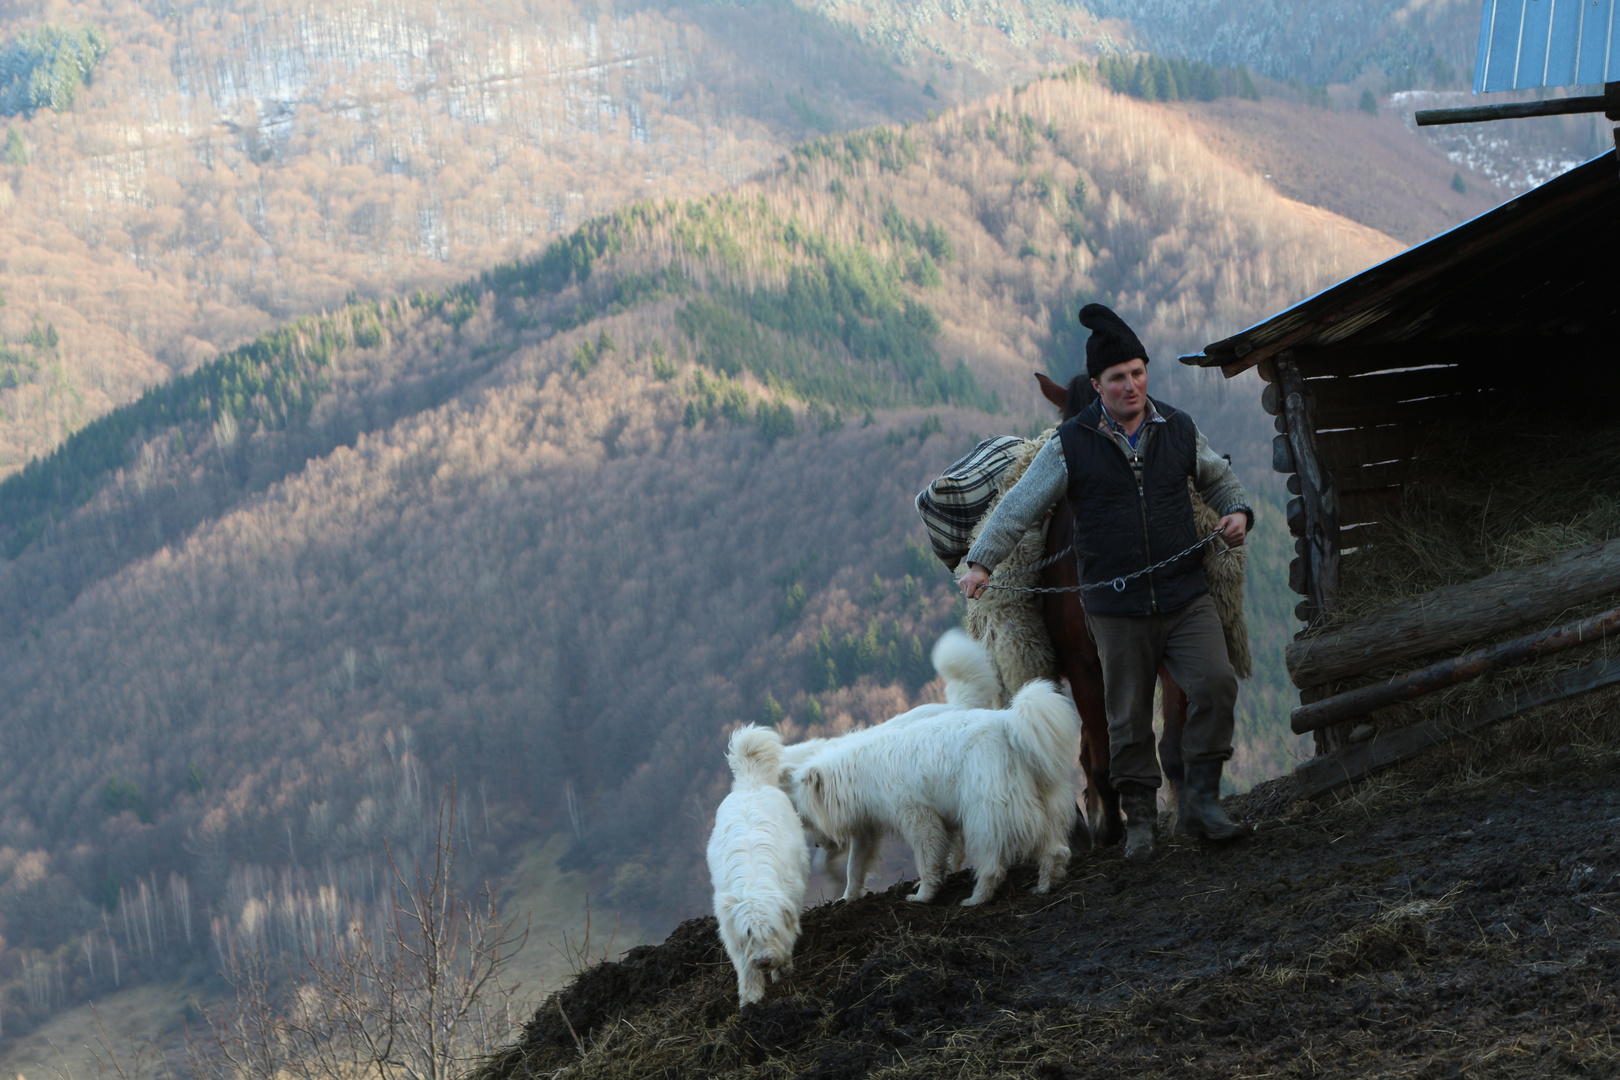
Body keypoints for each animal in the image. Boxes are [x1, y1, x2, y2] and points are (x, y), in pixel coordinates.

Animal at [706, 722, 810, 1010]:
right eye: (749, 932)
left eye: (770, 929)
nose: (764, 961)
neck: (753, 882)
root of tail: (752, 783)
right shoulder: (731, 927)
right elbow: (743, 962)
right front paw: (751, 996)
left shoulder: (791, 900)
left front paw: (782, 968)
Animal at [784, 628, 1075, 906]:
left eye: (806, 818)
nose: (818, 845)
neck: (860, 770)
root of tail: (1010, 724)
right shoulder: (869, 825)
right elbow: (855, 867)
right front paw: (847, 898)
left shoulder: (918, 817)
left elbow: (926, 858)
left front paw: (923, 895)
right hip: (1038, 804)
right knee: (1055, 849)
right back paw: (1044, 885)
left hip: (984, 814)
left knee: (991, 863)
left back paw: (976, 898)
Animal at [1036, 374, 1192, 854]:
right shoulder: (1084, 667)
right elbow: (1101, 753)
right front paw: (1110, 824)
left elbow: (1173, 744)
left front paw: (1182, 815)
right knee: (1092, 748)